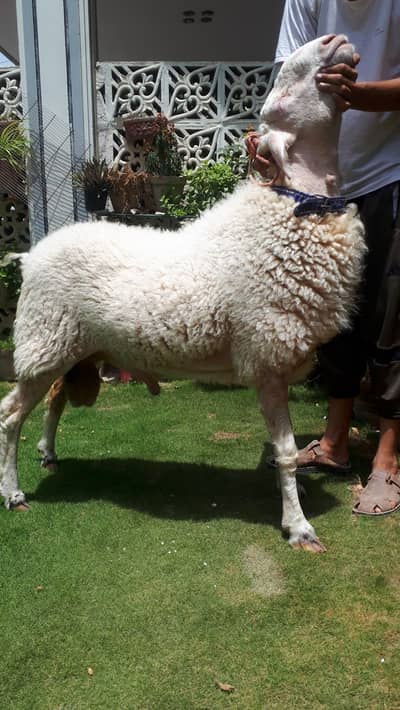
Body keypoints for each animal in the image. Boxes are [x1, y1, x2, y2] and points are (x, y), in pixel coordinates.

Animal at [0, 34, 366, 552]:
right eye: (284, 90)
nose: (334, 40)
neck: (296, 207)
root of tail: (32, 256)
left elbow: (284, 452)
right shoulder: (267, 357)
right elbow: (288, 453)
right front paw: (297, 525)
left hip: (72, 347)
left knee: (52, 398)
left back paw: (48, 452)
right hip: (43, 340)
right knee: (11, 415)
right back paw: (12, 492)